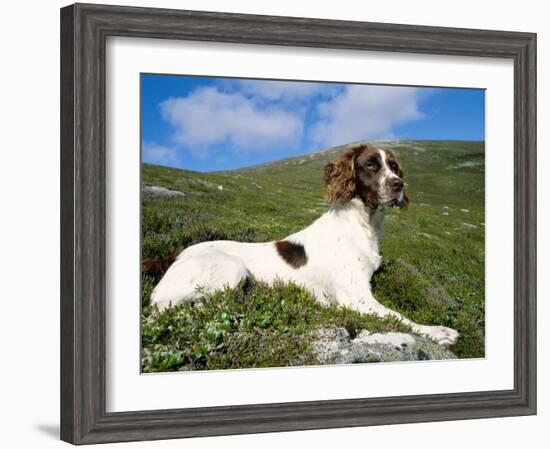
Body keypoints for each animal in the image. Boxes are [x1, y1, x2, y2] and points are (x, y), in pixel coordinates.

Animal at [150, 144, 462, 346]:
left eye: (394, 167)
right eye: (371, 164)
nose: (398, 185)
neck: (362, 224)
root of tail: (174, 256)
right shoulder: (356, 298)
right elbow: (398, 315)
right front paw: (439, 332)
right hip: (231, 267)